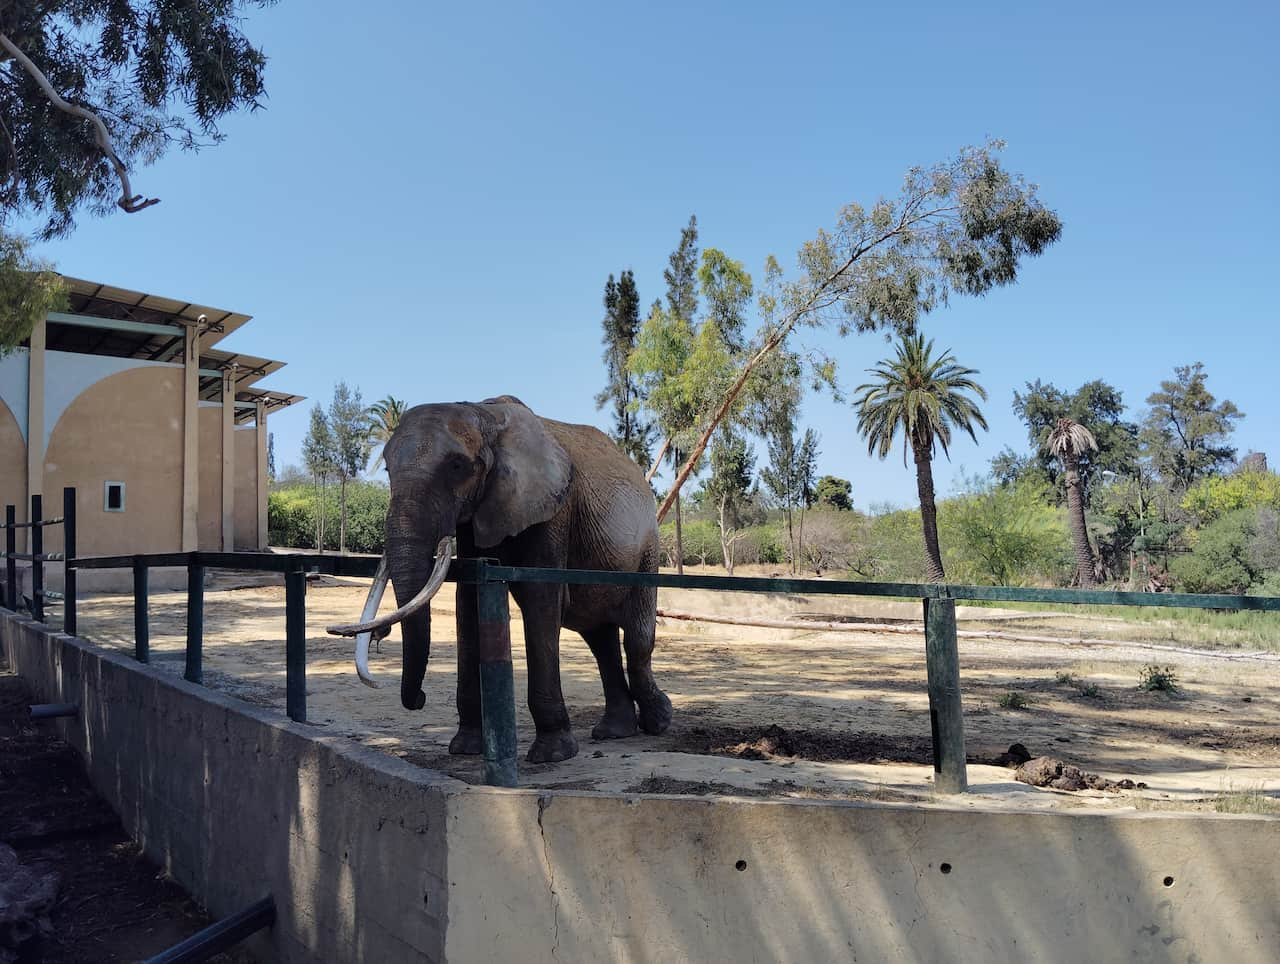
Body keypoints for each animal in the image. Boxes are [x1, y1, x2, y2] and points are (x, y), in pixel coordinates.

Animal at [330, 394, 670, 763]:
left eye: (457, 467)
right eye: (387, 470)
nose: (419, 699)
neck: (484, 413)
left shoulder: (552, 510)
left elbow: (541, 598)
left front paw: (552, 754)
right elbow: (468, 601)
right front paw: (465, 748)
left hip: (647, 549)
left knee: (635, 638)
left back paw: (659, 722)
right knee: (598, 636)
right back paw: (614, 732)